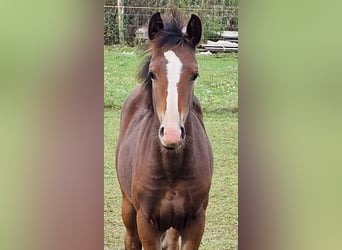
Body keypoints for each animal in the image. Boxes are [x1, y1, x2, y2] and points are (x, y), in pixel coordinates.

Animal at [116, 8, 212, 249]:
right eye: (152, 73)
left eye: (195, 74)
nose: (171, 135)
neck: (171, 169)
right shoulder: (146, 222)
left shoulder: (196, 222)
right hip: (128, 207)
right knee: (130, 239)